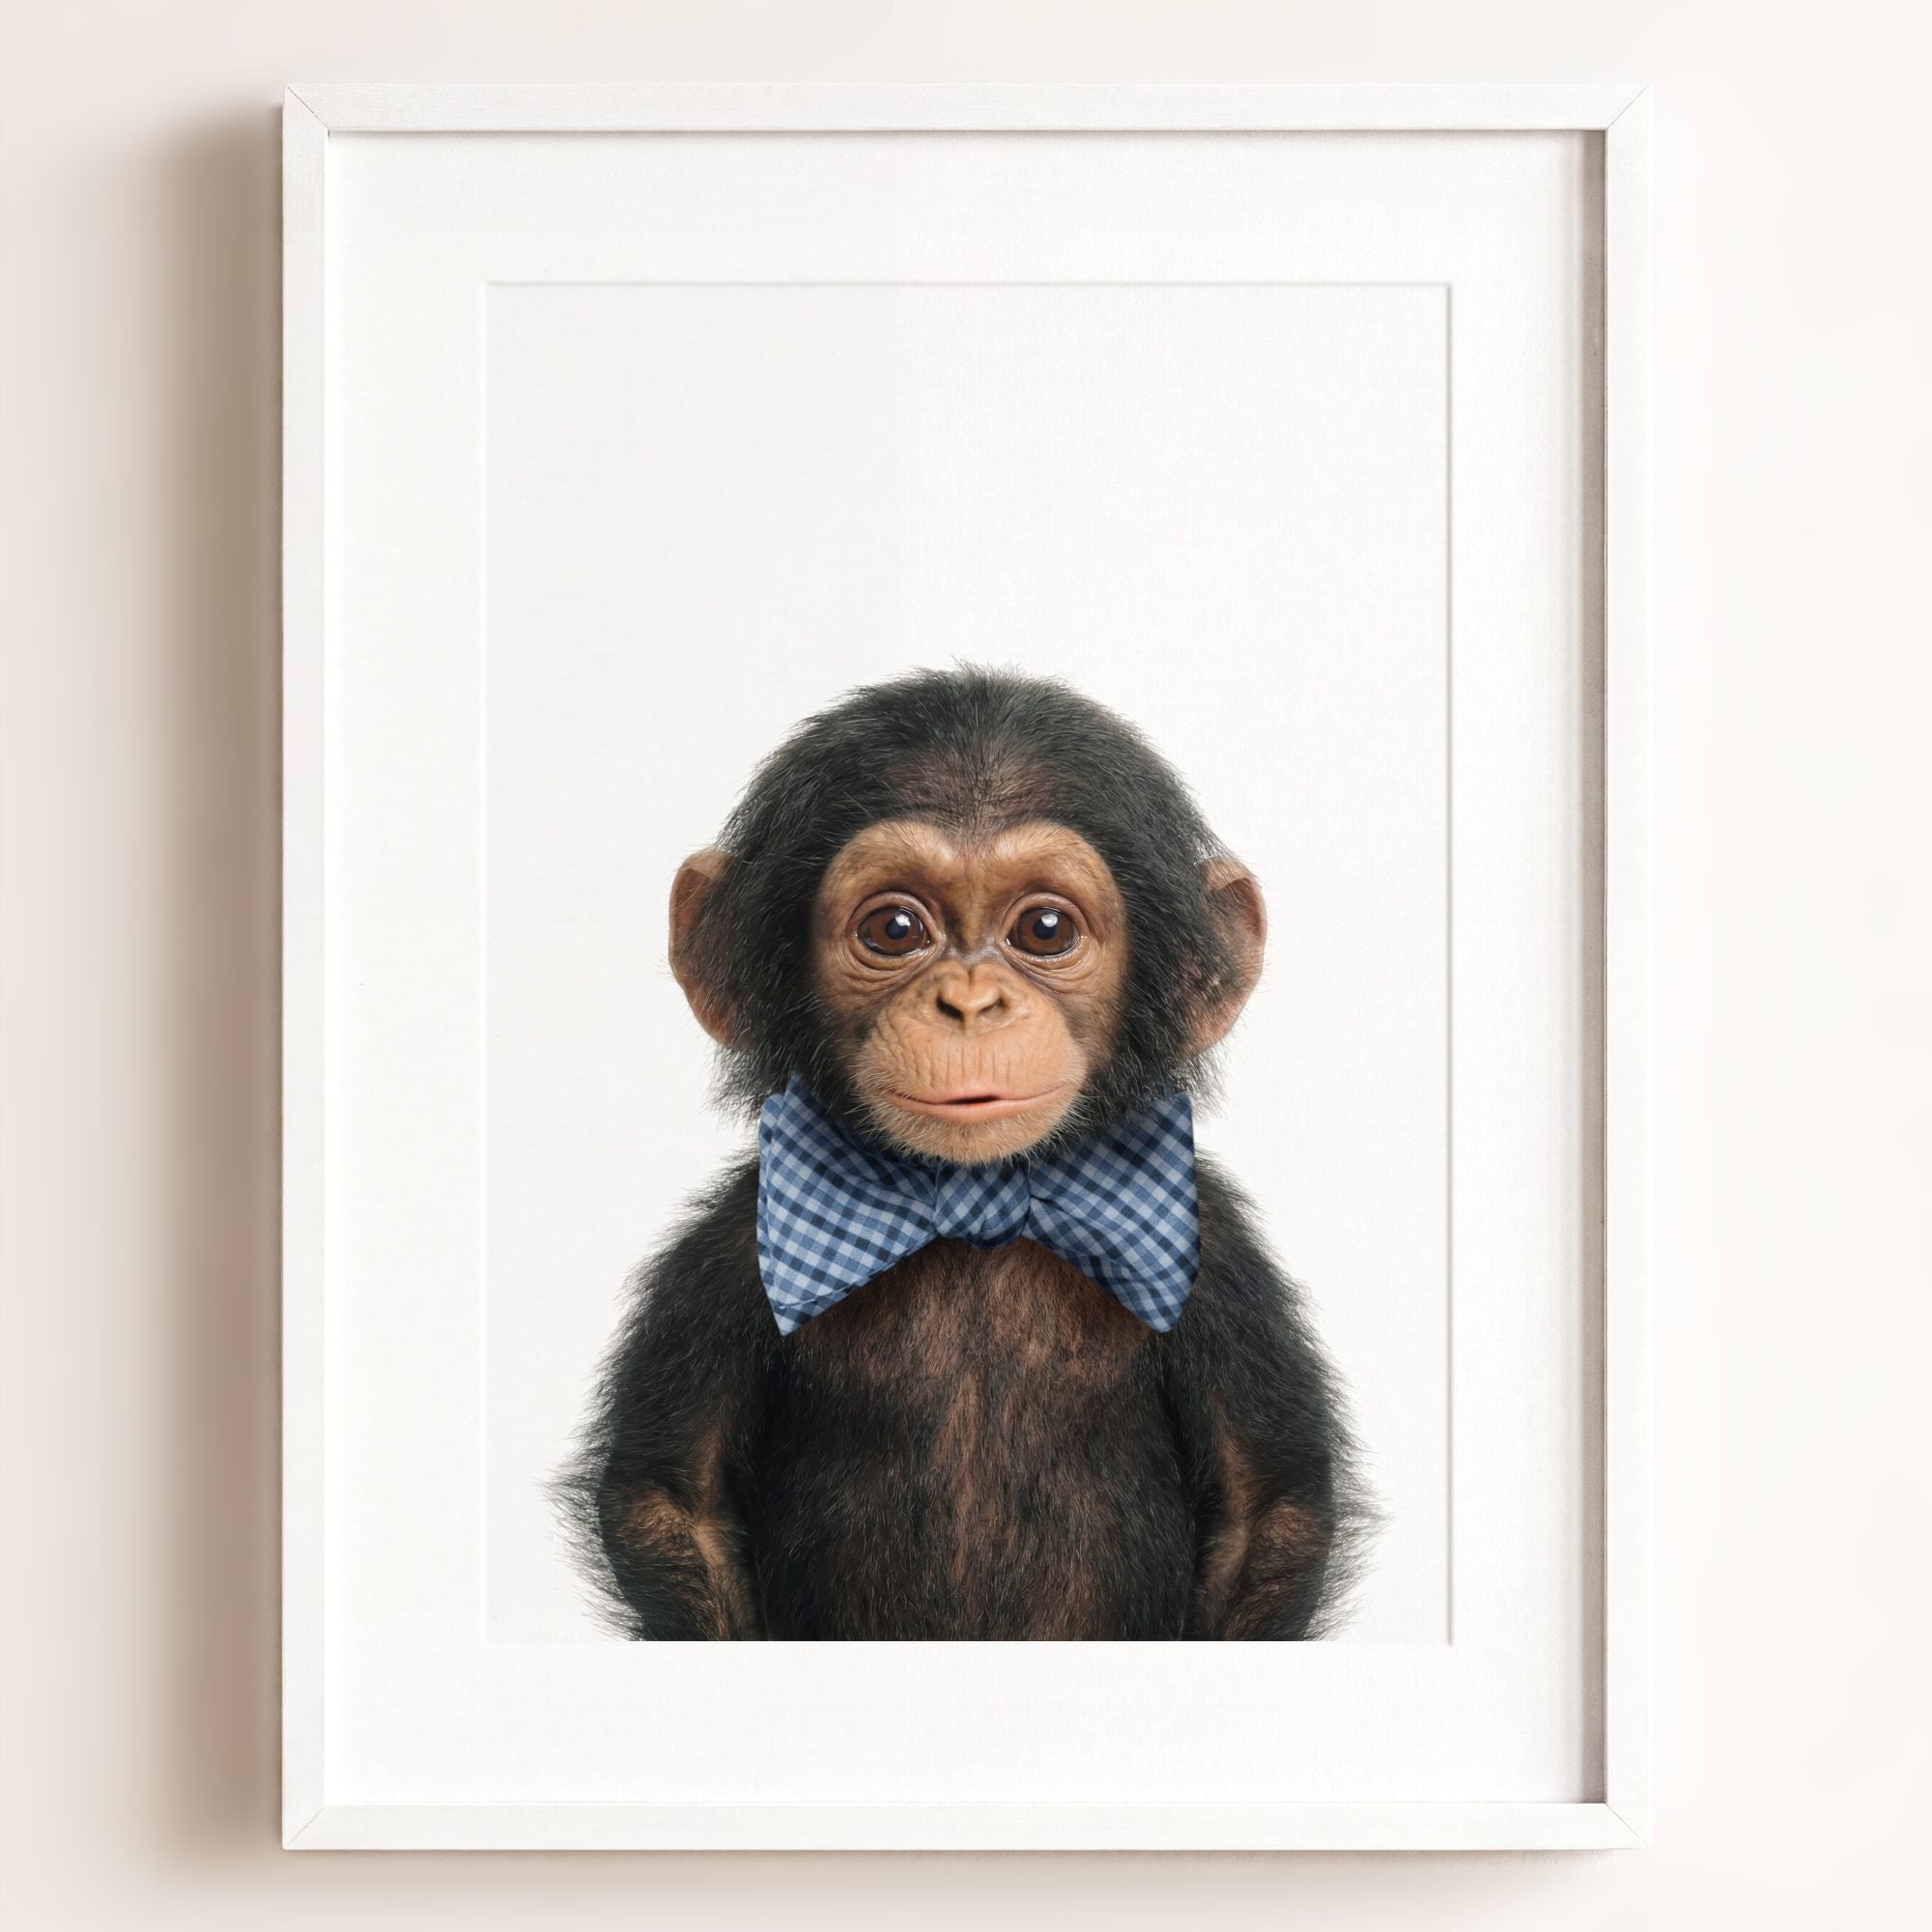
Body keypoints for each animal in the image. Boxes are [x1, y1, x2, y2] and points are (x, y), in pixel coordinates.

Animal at [562, 667, 1365, 1640]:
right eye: (896, 929)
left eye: (1046, 929)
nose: (972, 1003)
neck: (975, 1200)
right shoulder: (725, 1254)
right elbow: (673, 1500)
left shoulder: (1215, 1260)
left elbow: (1266, 1509)